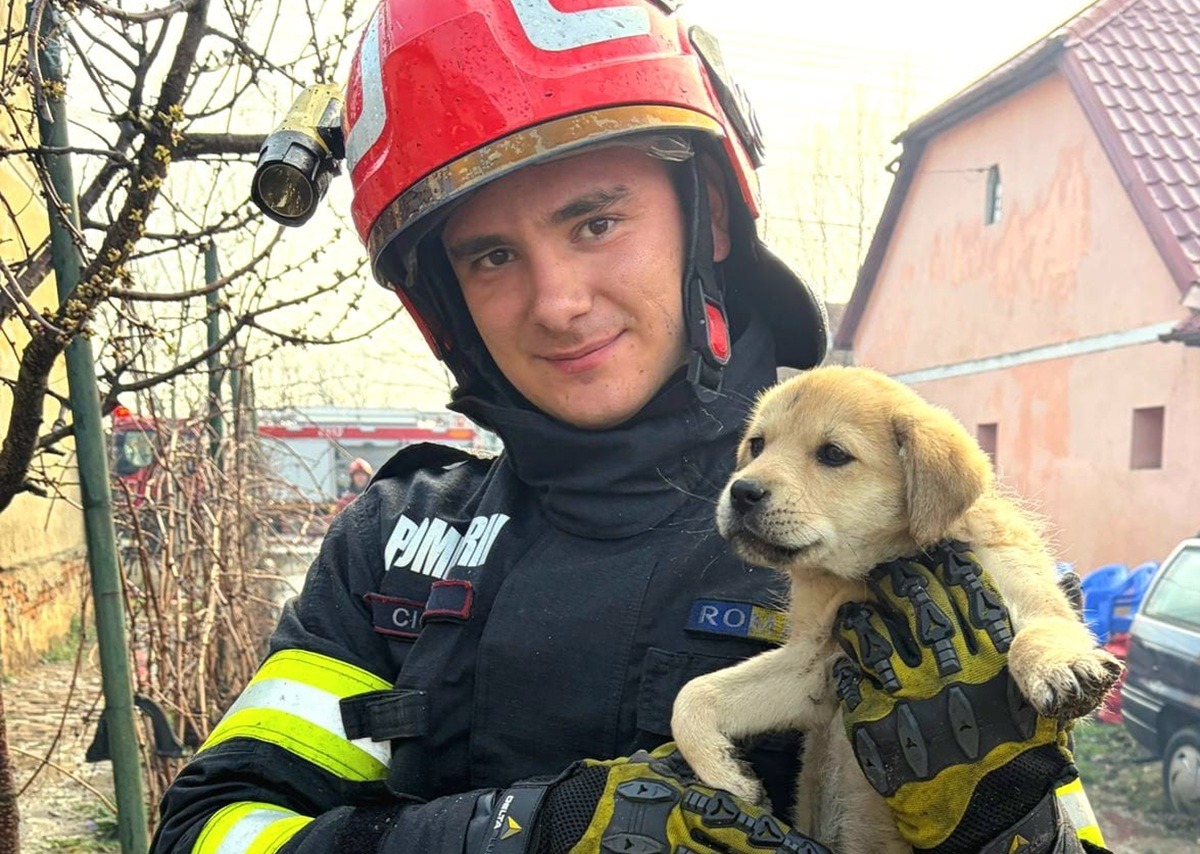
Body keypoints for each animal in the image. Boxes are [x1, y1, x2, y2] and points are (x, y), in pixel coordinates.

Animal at [671, 365, 1121, 853]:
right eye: (757, 445)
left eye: (833, 454)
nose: (741, 492)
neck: (878, 567)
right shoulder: (815, 667)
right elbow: (694, 695)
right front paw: (727, 775)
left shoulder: (1022, 591)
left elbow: (1042, 631)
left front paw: (1062, 667)